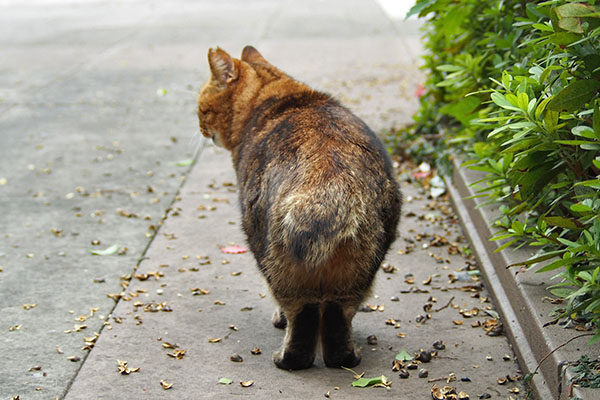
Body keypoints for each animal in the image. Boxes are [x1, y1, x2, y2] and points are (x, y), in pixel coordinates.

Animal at [198, 45, 404, 370]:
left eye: (202, 108)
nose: (201, 128)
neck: (275, 95)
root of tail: (328, 182)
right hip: (359, 269)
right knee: (338, 314)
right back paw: (344, 357)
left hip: (270, 254)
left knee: (301, 314)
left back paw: (289, 359)